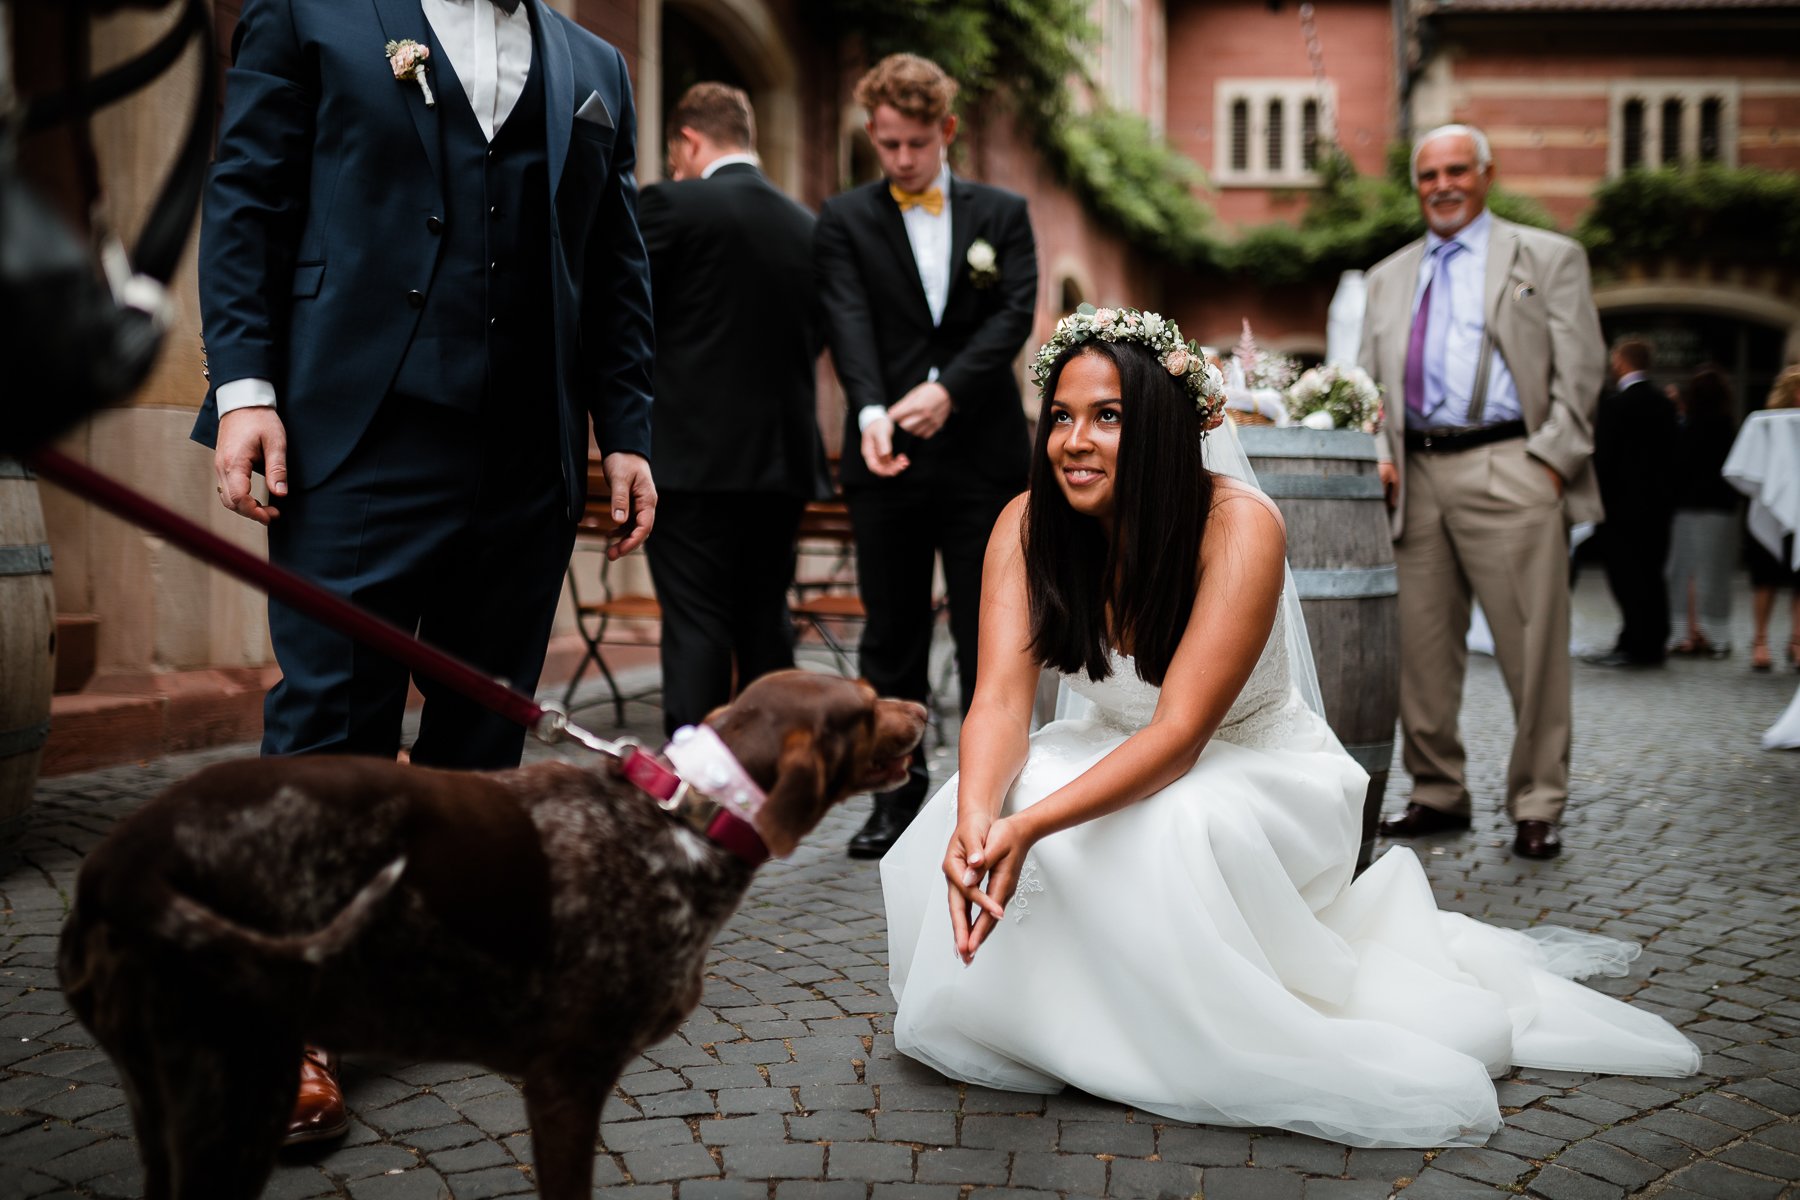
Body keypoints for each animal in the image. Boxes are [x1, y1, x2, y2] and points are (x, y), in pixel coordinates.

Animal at [56, 672, 928, 1194]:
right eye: (865, 707)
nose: (922, 710)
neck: (687, 813)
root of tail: (122, 864)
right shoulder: (566, 1079)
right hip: (237, 1085)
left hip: (164, 1090)